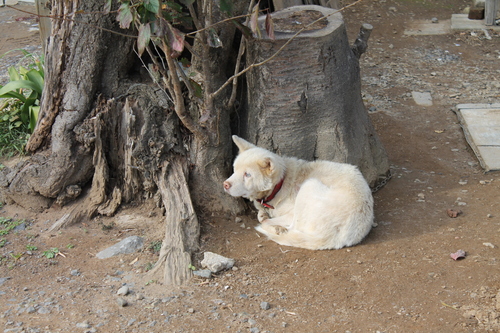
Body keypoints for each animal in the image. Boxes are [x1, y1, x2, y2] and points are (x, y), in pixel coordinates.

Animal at [224, 135, 376, 249]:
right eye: (234, 169)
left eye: (247, 174)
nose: (225, 184)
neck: (280, 184)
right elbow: (261, 215)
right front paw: (263, 214)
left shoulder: (290, 213)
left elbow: (266, 221)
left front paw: (274, 225)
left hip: (309, 185)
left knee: (289, 228)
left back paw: (278, 230)